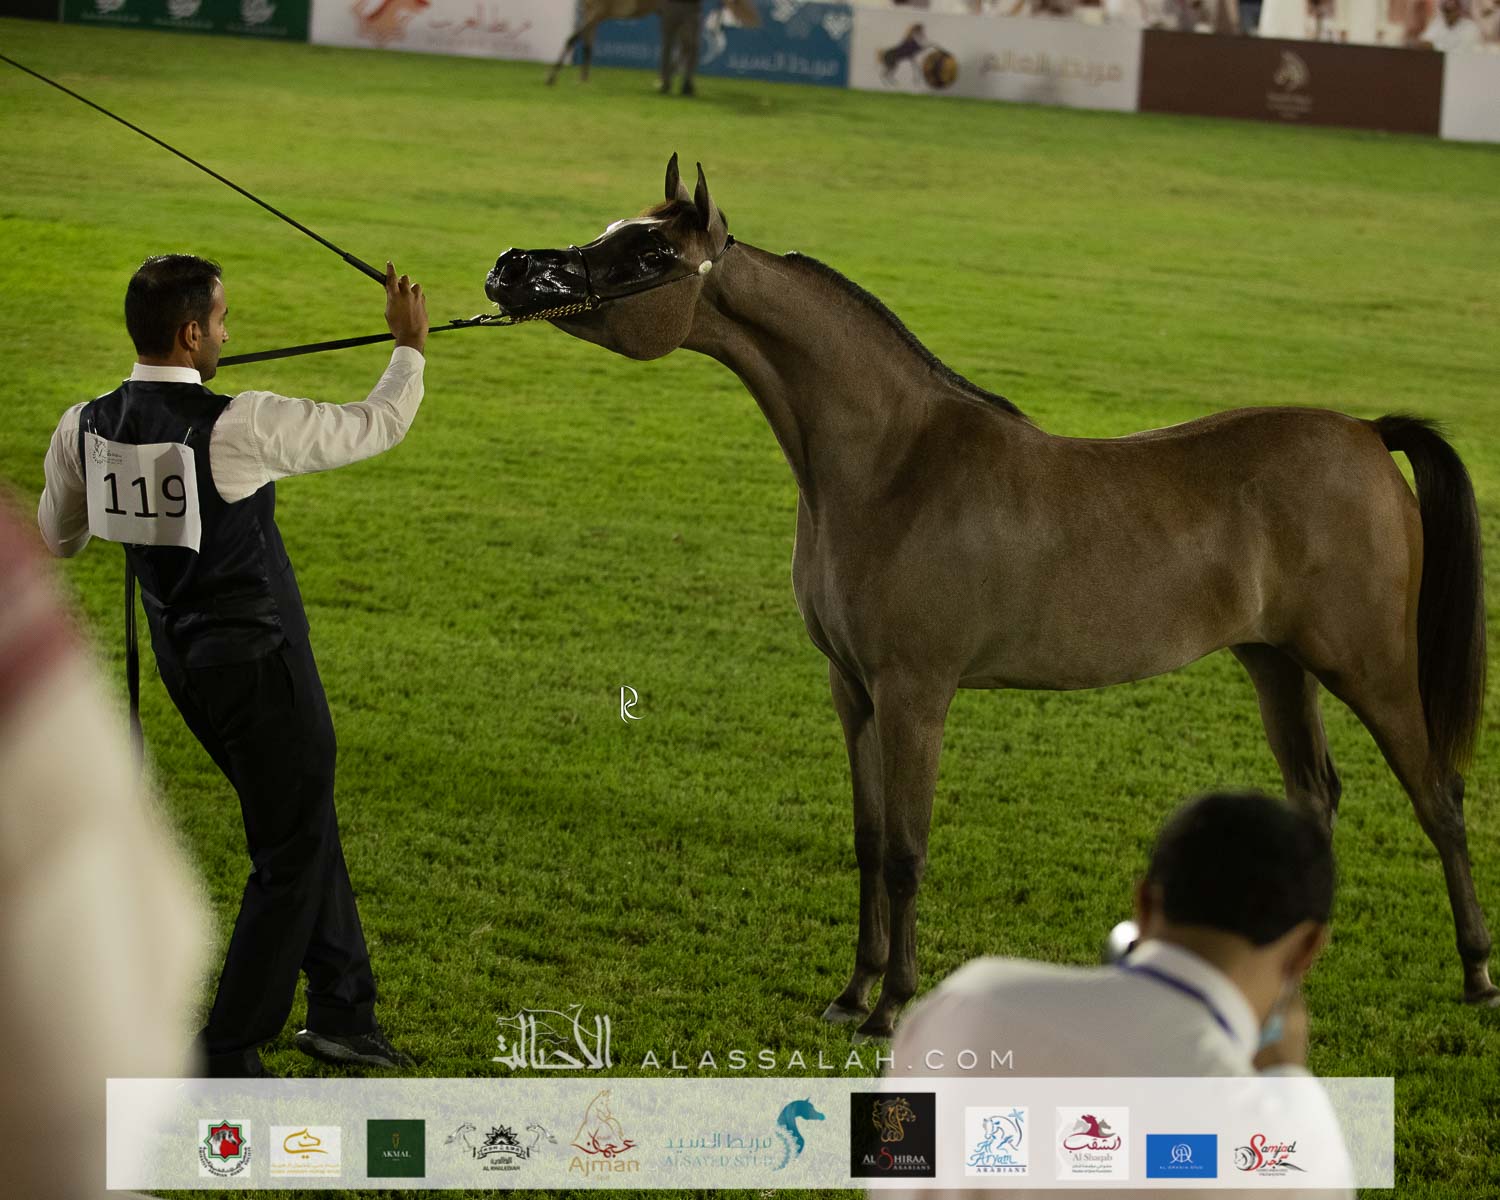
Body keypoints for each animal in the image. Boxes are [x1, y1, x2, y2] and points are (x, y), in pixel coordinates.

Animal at [484, 155, 1493, 1039]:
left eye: (653, 254)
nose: (511, 269)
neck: (892, 463)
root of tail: (1365, 435)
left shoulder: (916, 694)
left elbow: (906, 851)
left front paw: (890, 1007)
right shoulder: (851, 690)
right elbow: (866, 840)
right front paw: (850, 994)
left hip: (1370, 666)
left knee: (1437, 797)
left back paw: (1479, 975)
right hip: (1277, 664)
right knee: (1315, 799)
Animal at [546, 0, 761, 87]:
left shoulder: (599, 11)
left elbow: (573, 38)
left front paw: (552, 77)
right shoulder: (593, 11)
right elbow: (587, 46)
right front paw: (583, 79)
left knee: (687, 46)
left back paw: (667, 80)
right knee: (687, 47)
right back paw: (668, 80)